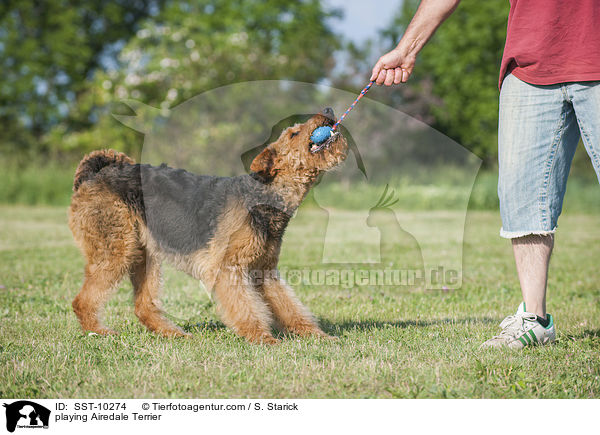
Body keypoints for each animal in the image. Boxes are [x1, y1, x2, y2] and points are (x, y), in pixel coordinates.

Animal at [68, 109, 346, 344]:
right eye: (294, 134)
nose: (328, 110)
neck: (263, 195)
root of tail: (94, 174)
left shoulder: (265, 271)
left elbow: (289, 307)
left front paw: (317, 335)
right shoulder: (228, 268)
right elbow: (246, 308)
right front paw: (263, 338)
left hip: (144, 254)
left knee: (143, 305)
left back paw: (174, 334)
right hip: (116, 250)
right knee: (82, 300)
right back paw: (99, 331)